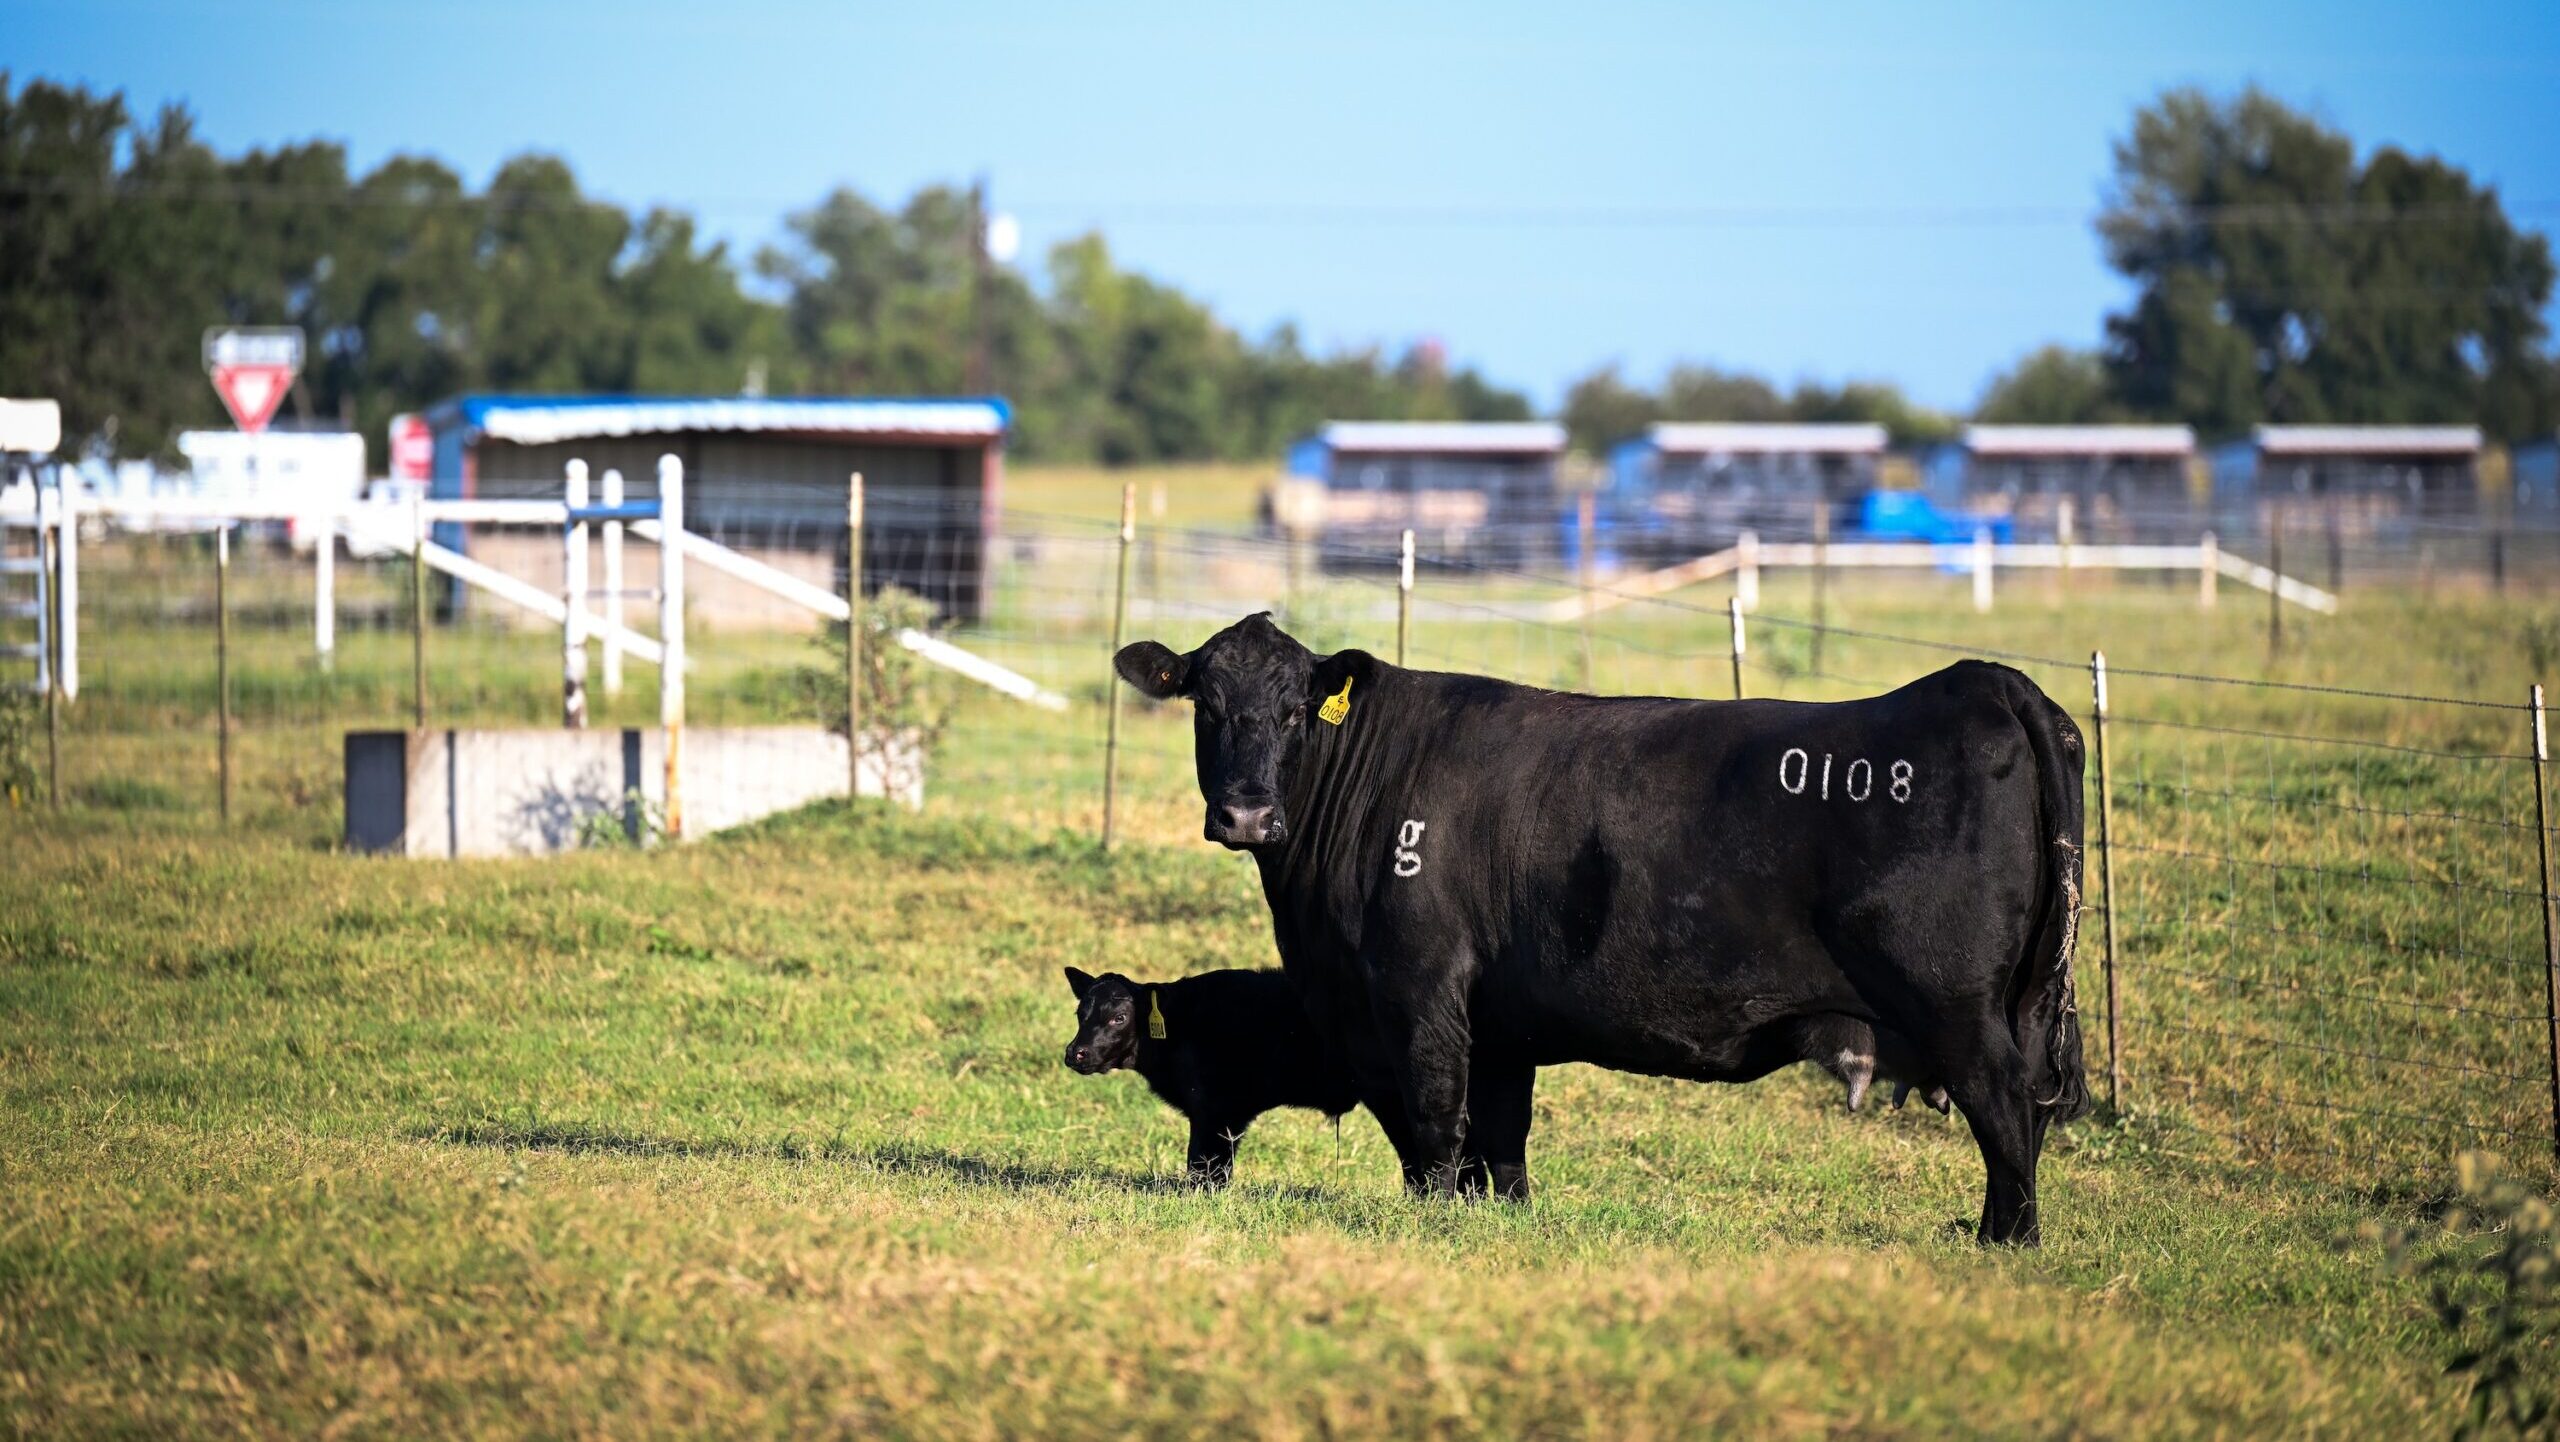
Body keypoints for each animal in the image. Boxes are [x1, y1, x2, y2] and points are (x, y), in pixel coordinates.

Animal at [1113, 613, 2085, 1245]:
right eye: (1205, 704)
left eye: (1291, 712)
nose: (1246, 813)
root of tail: (1981, 681)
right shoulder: (1498, 1022)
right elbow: (1500, 1138)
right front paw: (1502, 1220)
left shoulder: (1419, 993)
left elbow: (1434, 1121)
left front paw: (1433, 1222)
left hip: (1957, 1004)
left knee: (2005, 1109)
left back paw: (2004, 1242)